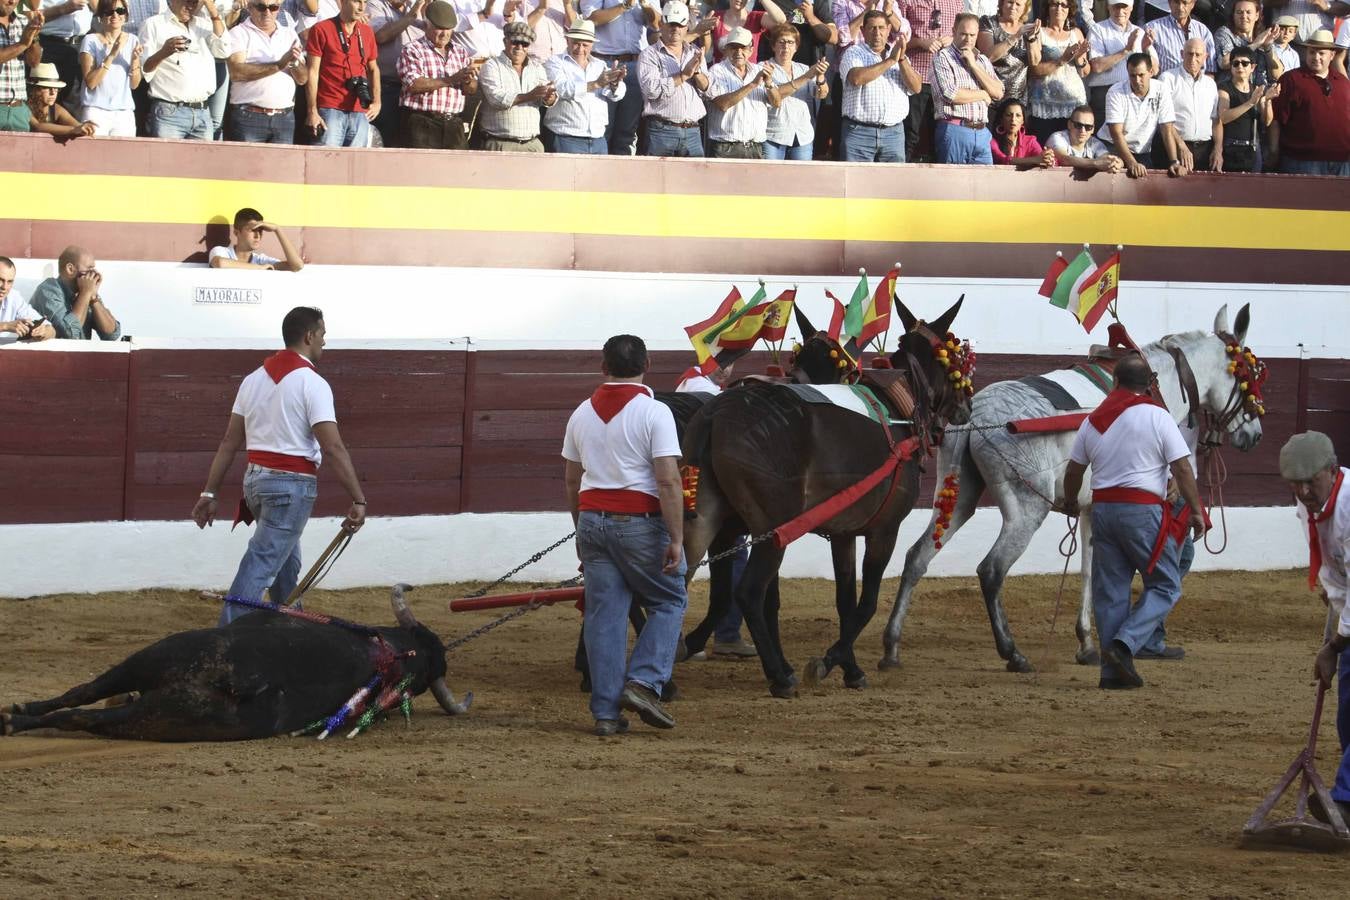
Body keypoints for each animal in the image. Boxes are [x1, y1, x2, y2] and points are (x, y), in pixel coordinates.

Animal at [2, 588, 472, 744]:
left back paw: (16, 719)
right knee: (82, 697)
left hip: (158, 697)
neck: (395, 651)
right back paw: (20, 714)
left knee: (81, 710)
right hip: (156, 670)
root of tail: (243, 678)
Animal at [880, 306, 1258, 671]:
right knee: (991, 570)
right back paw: (1012, 653)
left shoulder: (1092, 508)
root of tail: (976, 419)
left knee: (917, 557)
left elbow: (1089, 571)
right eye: (1250, 377)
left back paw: (891, 646)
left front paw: (1088, 644)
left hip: (956, 497)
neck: (1160, 383)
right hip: (1026, 510)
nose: (1254, 435)